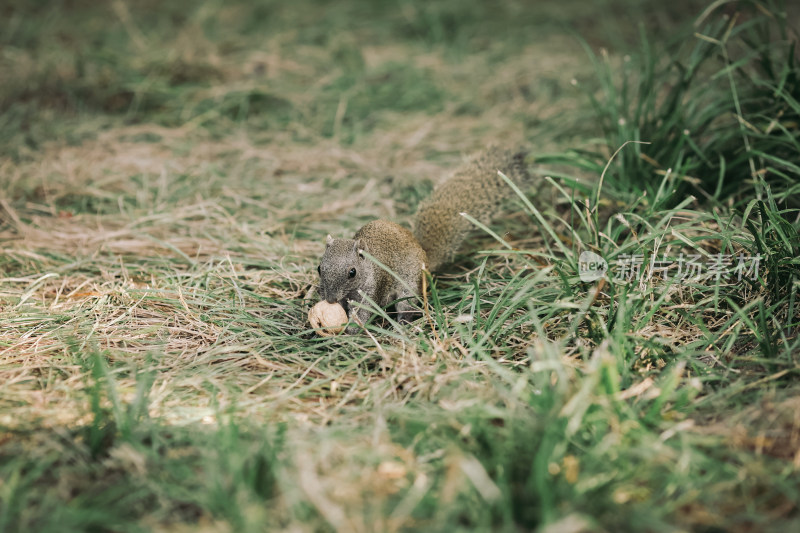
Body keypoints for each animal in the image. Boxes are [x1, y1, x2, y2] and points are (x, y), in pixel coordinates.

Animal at [316, 145, 528, 332]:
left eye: (352, 272)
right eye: (319, 268)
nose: (330, 300)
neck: (367, 268)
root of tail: (424, 255)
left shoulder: (373, 289)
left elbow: (364, 310)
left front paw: (353, 329)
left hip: (408, 287)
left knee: (407, 307)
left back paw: (402, 324)